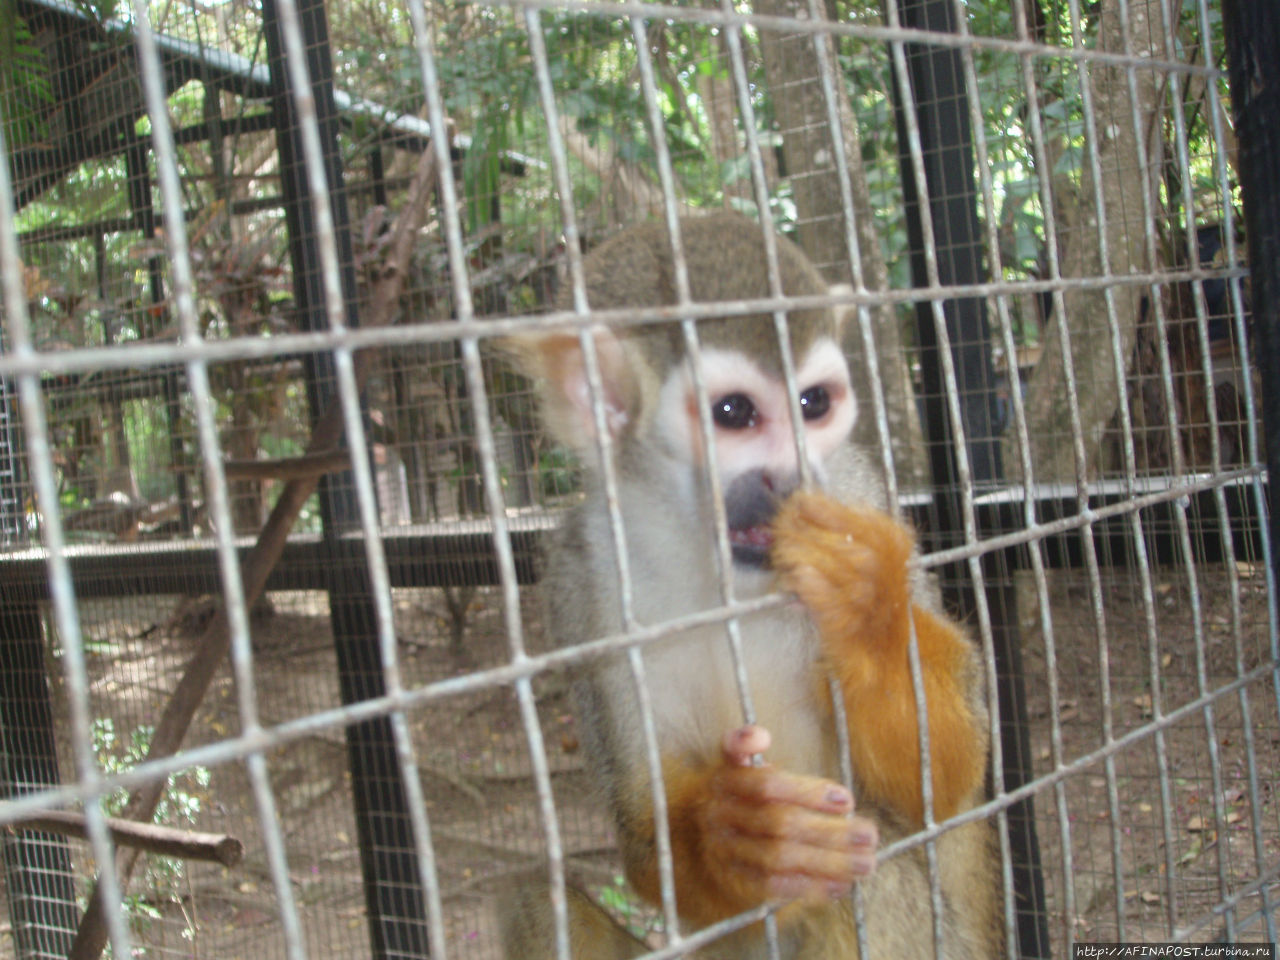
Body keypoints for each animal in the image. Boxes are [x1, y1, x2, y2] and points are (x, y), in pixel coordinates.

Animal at [504, 213, 1003, 957]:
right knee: (535, 897)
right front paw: (737, 836)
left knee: (867, 877)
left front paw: (869, 609)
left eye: (813, 402)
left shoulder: (856, 492)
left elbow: (944, 782)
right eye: (735, 413)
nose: (792, 479)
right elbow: (642, 827)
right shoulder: (579, 576)